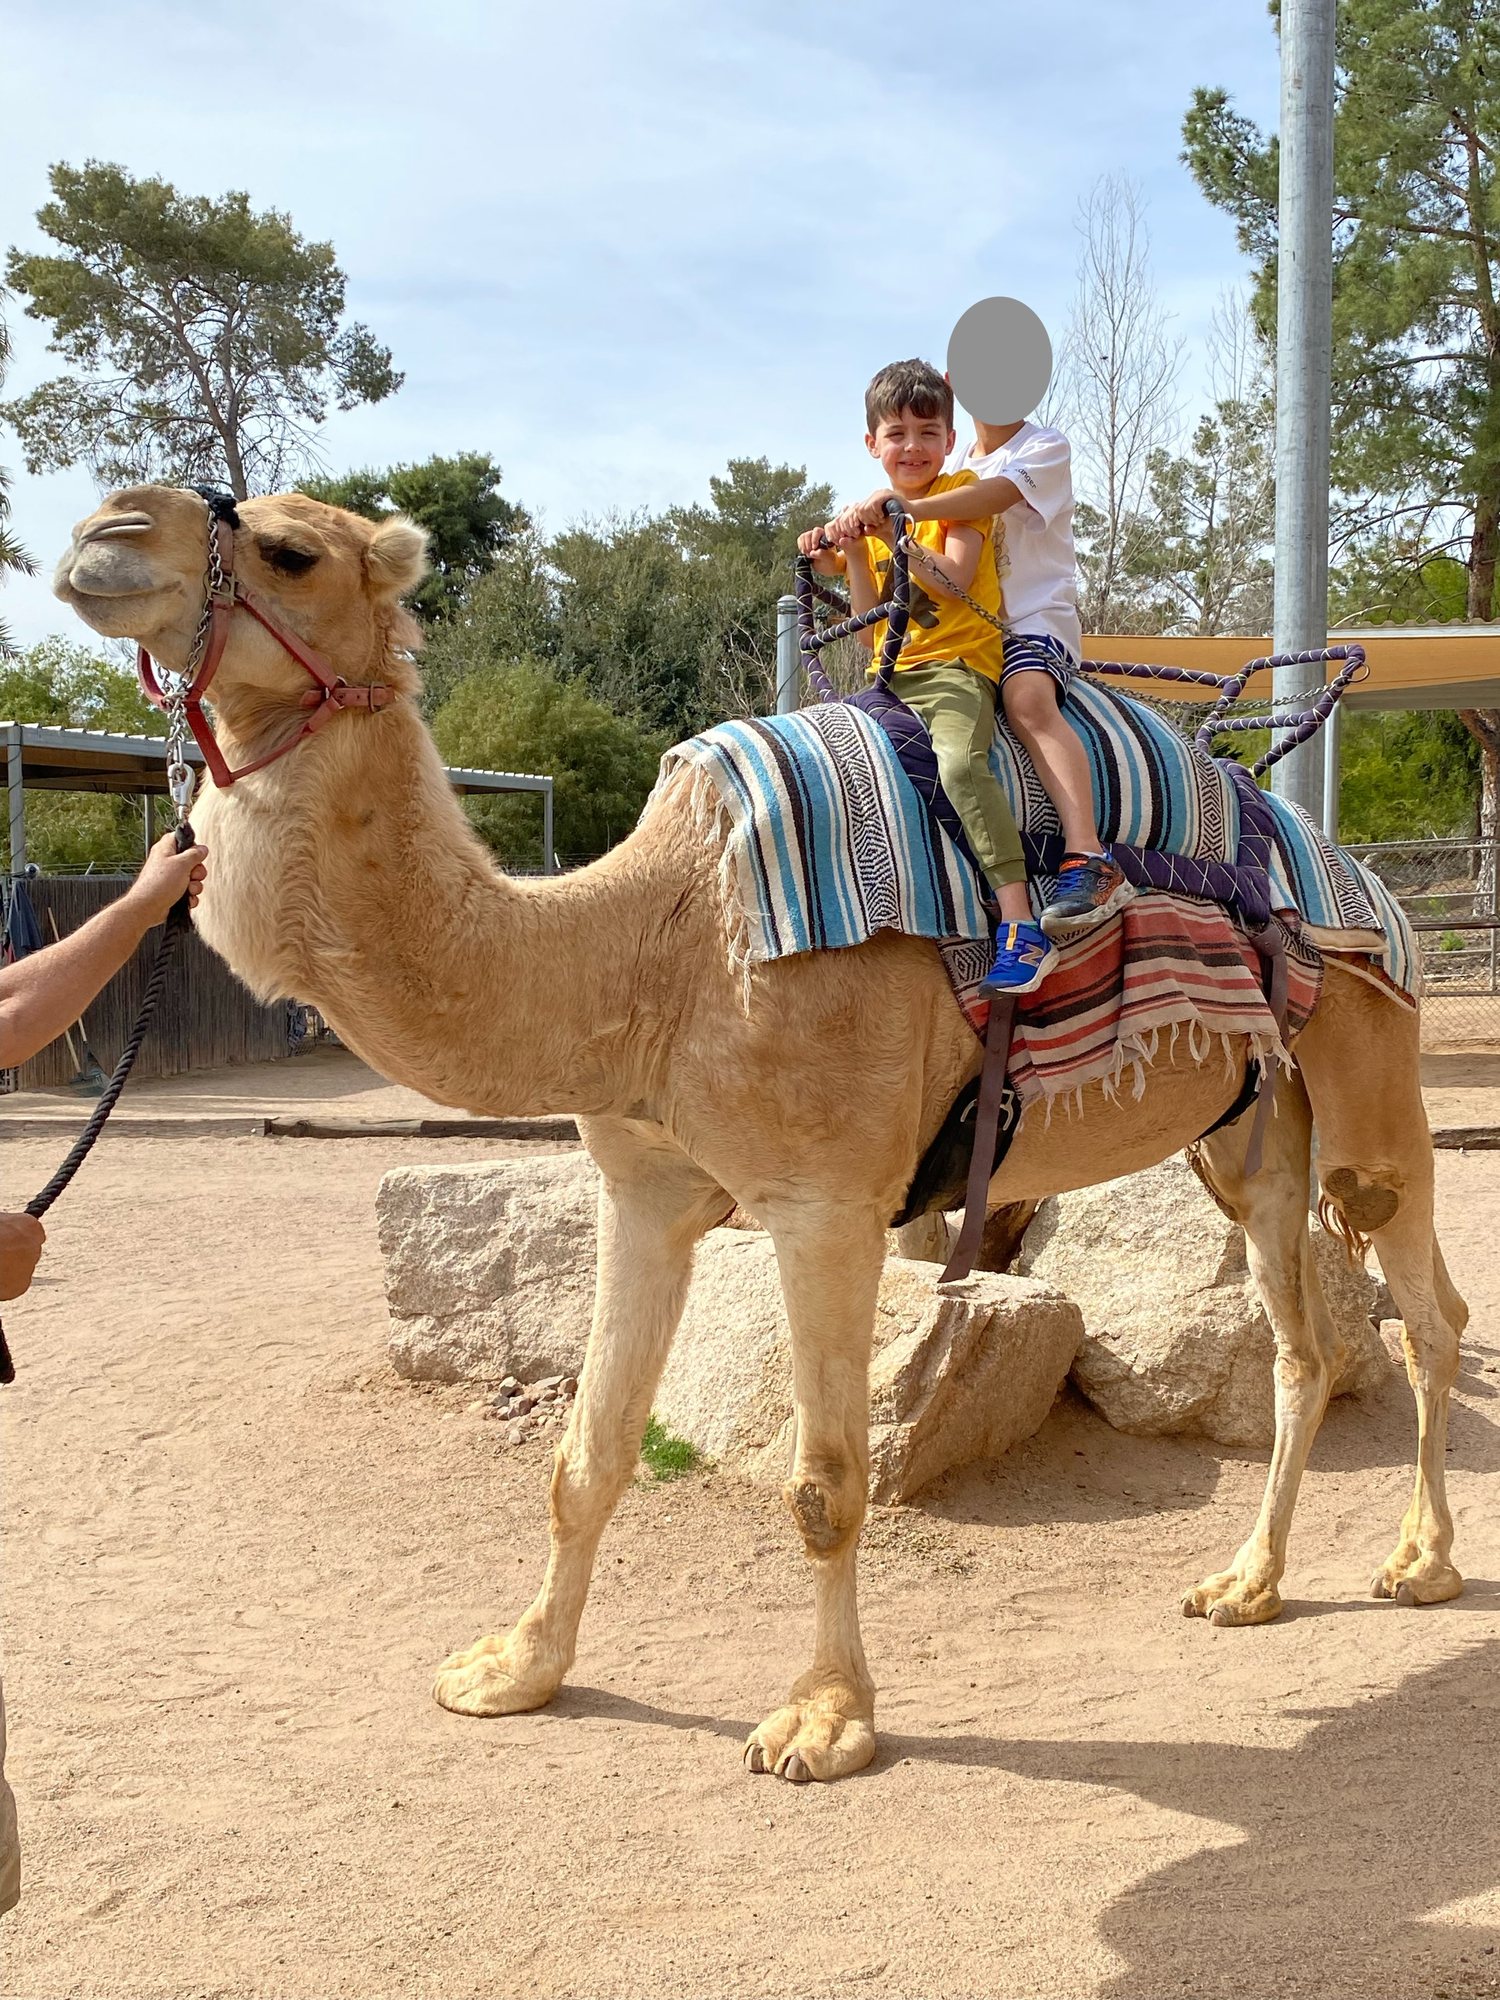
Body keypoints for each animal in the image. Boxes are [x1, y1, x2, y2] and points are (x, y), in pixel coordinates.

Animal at [54, 485, 1470, 1784]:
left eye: (290, 549)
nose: (99, 535)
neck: (659, 941)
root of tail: (1373, 887)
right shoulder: (645, 1184)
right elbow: (587, 1452)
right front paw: (514, 1667)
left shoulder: (828, 1202)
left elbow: (827, 1480)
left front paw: (823, 1721)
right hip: (1245, 1135)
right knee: (1303, 1339)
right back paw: (1246, 1582)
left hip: (1367, 1057)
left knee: (1425, 1300)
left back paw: (1421, 1561)